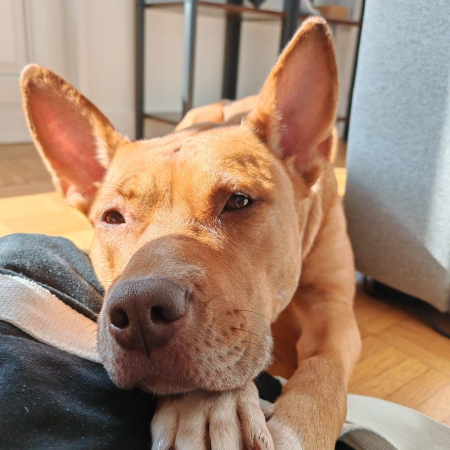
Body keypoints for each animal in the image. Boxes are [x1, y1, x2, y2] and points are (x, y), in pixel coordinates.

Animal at [20, 17, 361, 450]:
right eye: (112, 217)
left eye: (238, 201)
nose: (138, 310)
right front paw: (205, 407)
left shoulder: (332, 304)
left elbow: (323, 369)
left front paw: (292, 430)